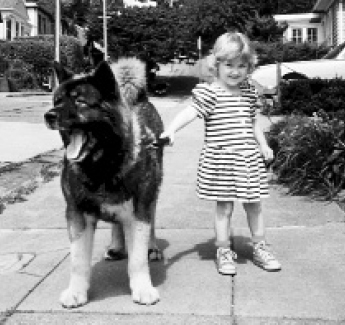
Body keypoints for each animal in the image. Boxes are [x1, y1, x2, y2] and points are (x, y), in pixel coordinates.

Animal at [44, 57, 164, 306]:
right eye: (57, 101)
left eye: (80, 101)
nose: (49, 115)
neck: (102, 166)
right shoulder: (77, 214)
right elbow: (78, 260)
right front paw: (76, 291)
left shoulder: (139, 210)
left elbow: (137, 259)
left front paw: (142, 287)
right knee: (117, 224)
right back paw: (117, 246)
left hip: (152, 194)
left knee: (152, 219)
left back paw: (152, 247)